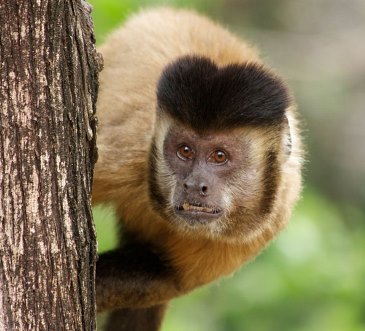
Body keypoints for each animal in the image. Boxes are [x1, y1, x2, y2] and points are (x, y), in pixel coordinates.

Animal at [92, 5, 302, 331]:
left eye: (220, 156)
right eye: (184, 151)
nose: (194, 185)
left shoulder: (265, 224)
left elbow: (163, 275)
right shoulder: (128, 153)